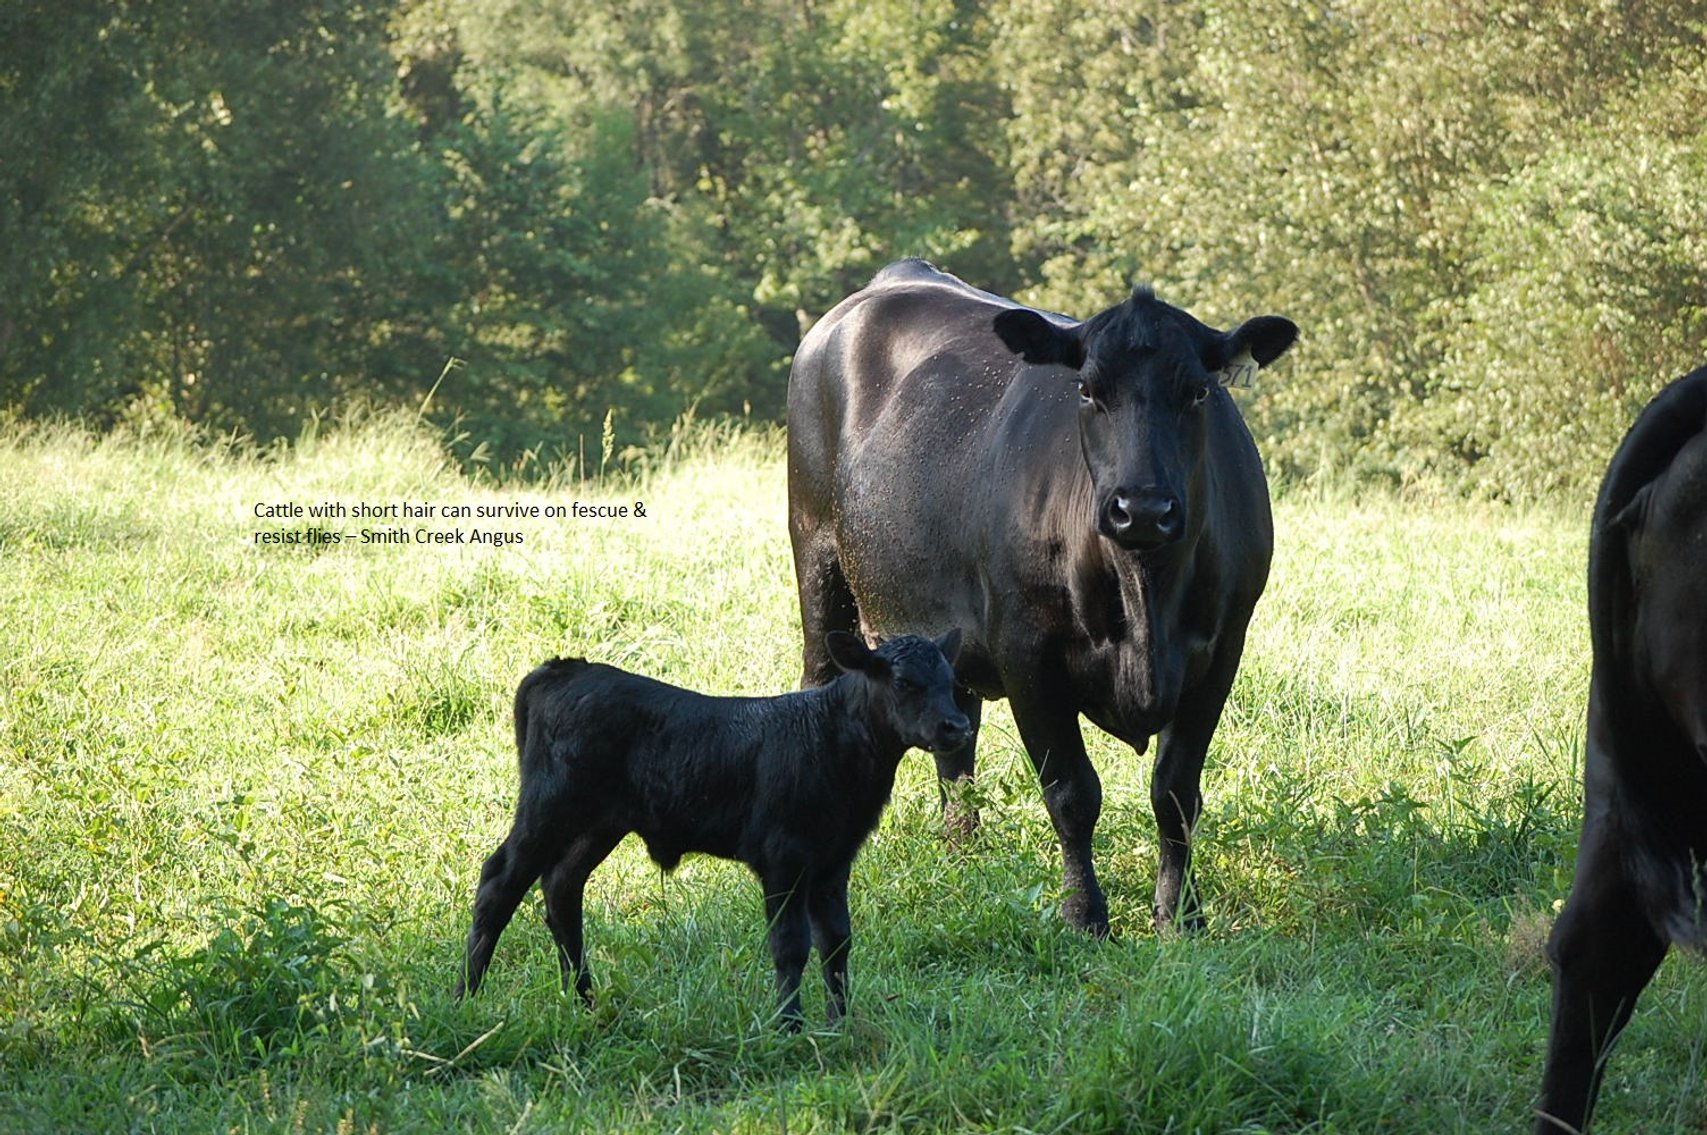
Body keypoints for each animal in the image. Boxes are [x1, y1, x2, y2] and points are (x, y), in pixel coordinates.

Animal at [454, 630, 968, 1029]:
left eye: (951, 681)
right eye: (903, 682)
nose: (956, 727)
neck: (831, 740)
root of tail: (561, 670)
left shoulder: (834, 860)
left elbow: (837, 943)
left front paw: (837, 1024)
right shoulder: (783, 856)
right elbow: (791, 944)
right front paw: (789, 1027)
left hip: (599, 823)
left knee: (561, 887)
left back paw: (584, 1002)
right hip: (548, 807)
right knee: (499, 882)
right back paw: (465, 999)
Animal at [787, 258, 1297, 936]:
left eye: (1198, 392)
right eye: (1087, 391)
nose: (1142, 508)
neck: (1144, 596)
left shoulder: (1221, 651)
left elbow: (1175, 792)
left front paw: (1180, 916)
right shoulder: (1028, 653)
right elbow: (1072, 793)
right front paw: (1084, 915)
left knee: (957, 740)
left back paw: (964, 856)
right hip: (817, 560)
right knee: (820, 682)